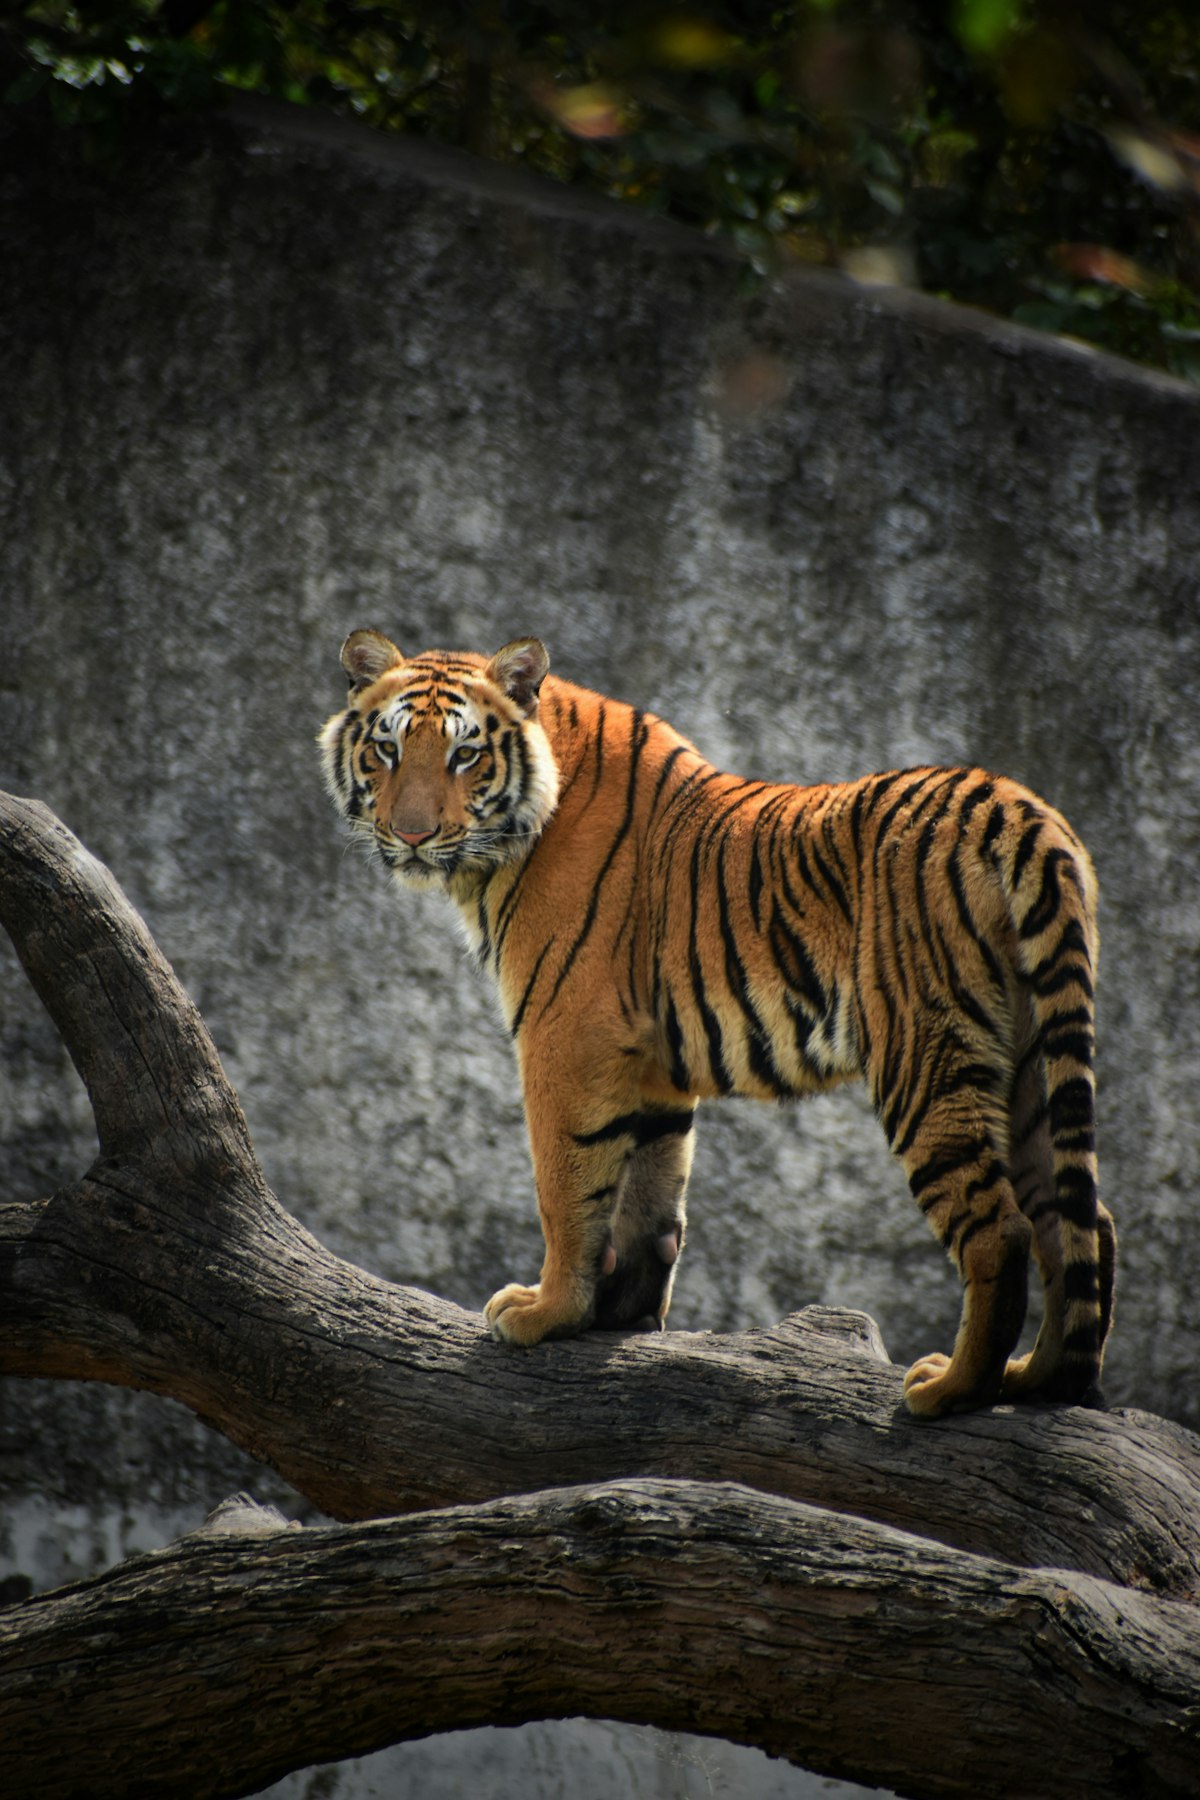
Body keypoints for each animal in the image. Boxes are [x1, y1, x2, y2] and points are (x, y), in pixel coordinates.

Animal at [319, 629, 1115, 1418]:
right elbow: (650, 1193)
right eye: (387, 749)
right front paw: (621, 1315)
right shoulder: (649, 1063)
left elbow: (567, 1185)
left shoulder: (565, 1033)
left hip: (923, 1055)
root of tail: (1018, 808)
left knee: (1001, 1230)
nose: (412, 834)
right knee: (1078, 1224)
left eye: (465, 755)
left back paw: (949, 1390)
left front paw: (547, 1313)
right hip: (1031, 1062)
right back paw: (1037, 1380)